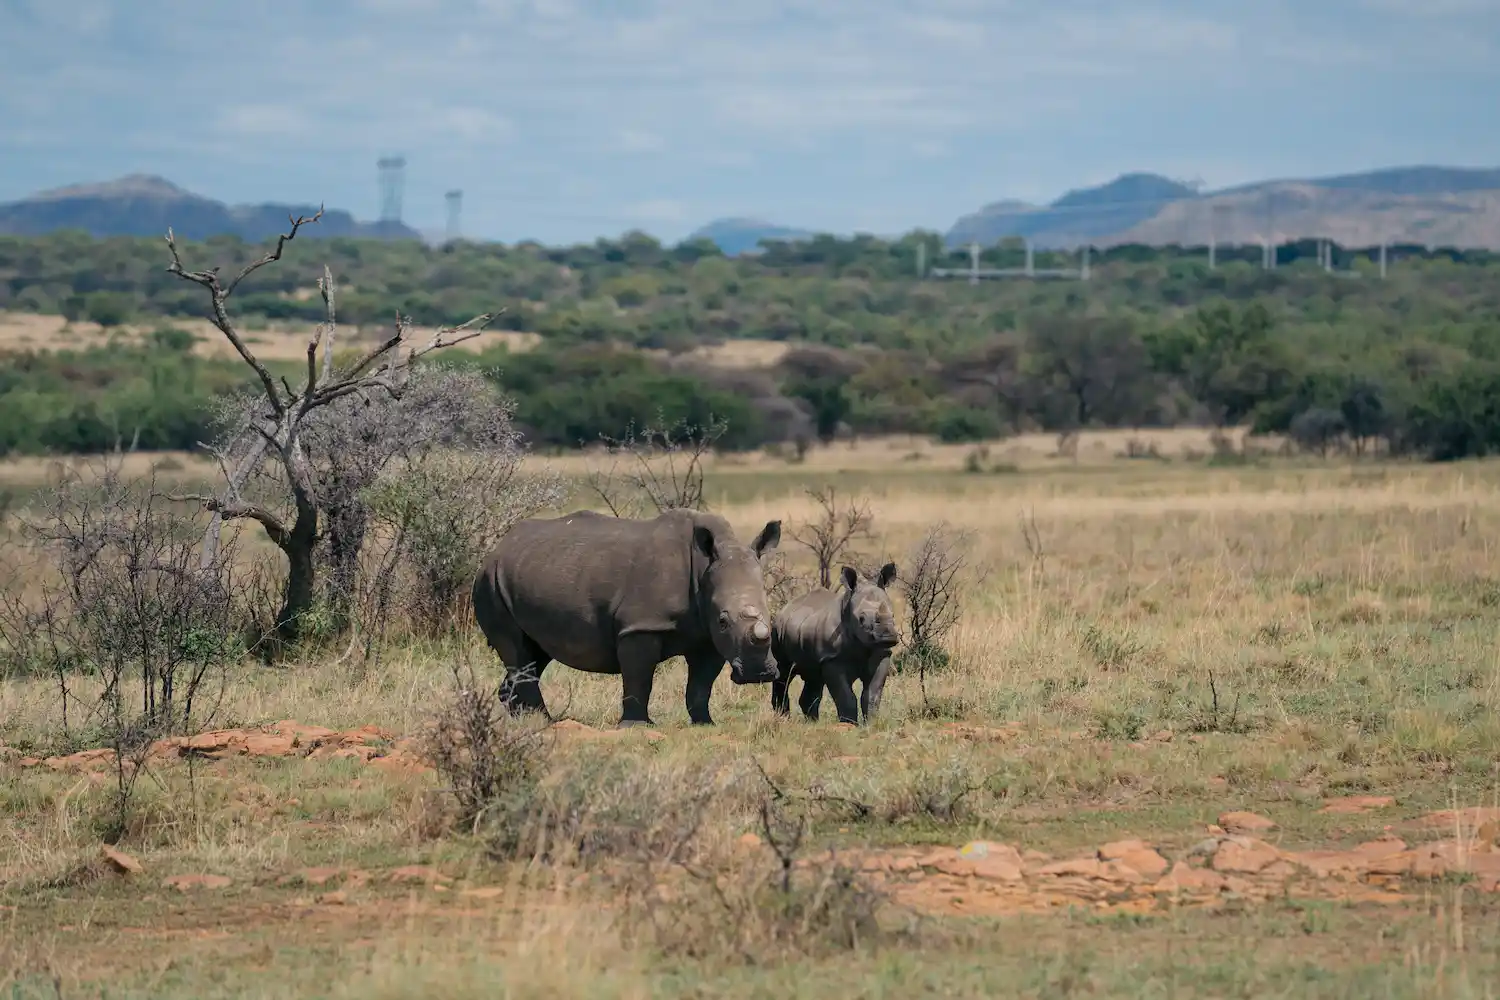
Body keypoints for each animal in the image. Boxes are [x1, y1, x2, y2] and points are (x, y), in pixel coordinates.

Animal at [472, 508, 782, 727]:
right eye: (723, 620)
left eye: (771, 614)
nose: (758, 674)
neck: (704, 568)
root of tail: (496, 549)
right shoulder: (641, 626)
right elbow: (639, 677)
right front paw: (636, 726)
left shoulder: (708, 636)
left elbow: (701, 683)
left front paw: (705, 724)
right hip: (490, 582)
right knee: (518, 651)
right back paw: (543, 722)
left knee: (535, 653)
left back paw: (523, 720)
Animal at [770, 562, 902, 725]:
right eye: (861, 619)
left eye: (893, 615)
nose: (888, 637)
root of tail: (785, 607)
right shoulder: (831, 659)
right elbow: (845, 696)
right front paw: (849, 724)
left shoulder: (881, 653)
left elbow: (872, 694)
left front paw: (871, 723)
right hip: (777, 629)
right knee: (783, 672)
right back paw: (783, 718)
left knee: (813, 677)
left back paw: (813, 723)